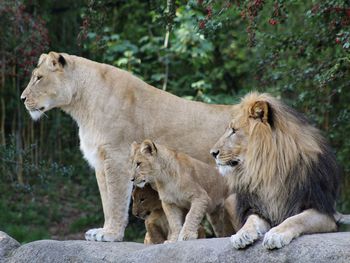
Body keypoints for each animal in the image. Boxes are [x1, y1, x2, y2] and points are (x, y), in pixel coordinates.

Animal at [21, 52, 235, 243]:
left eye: (39, 78)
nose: (22, 98)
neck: (82, 107)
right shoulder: (100, 161)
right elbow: (106, 200)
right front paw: (103, 231)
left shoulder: (117, 158)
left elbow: (116, 200)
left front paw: (111, 234)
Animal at [211, 92, 344, 250]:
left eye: (234, 131)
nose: (212, 153)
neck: (269, 169)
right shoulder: (260, 208)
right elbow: (251, 220)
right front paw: (242, 235)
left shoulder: (324, 211)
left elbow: (296, 219)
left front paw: (276, 234)